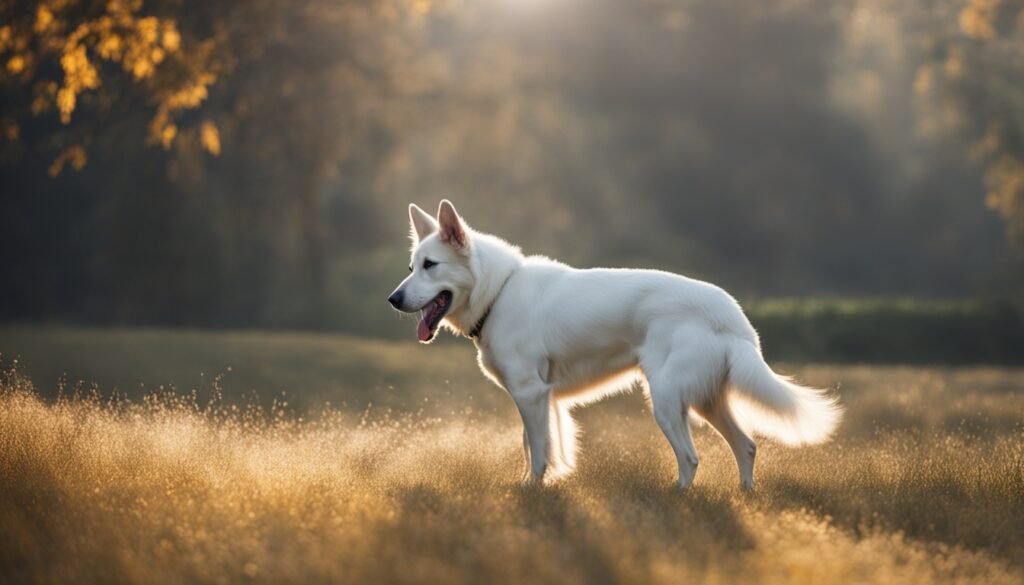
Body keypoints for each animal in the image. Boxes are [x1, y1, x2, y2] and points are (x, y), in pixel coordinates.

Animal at [387, 201, 843, 489]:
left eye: (430, 266)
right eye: (410, 267)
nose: (393, 299)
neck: (499, 290)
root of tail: (734, 318)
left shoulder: (530, 394)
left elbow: (536, 452)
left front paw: (530, 490)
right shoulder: (543, 399)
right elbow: (540, 446)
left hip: (666, 401)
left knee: (691, 458)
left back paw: (675, 499)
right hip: (706, 401)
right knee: (746, 446)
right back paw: (746, 496)